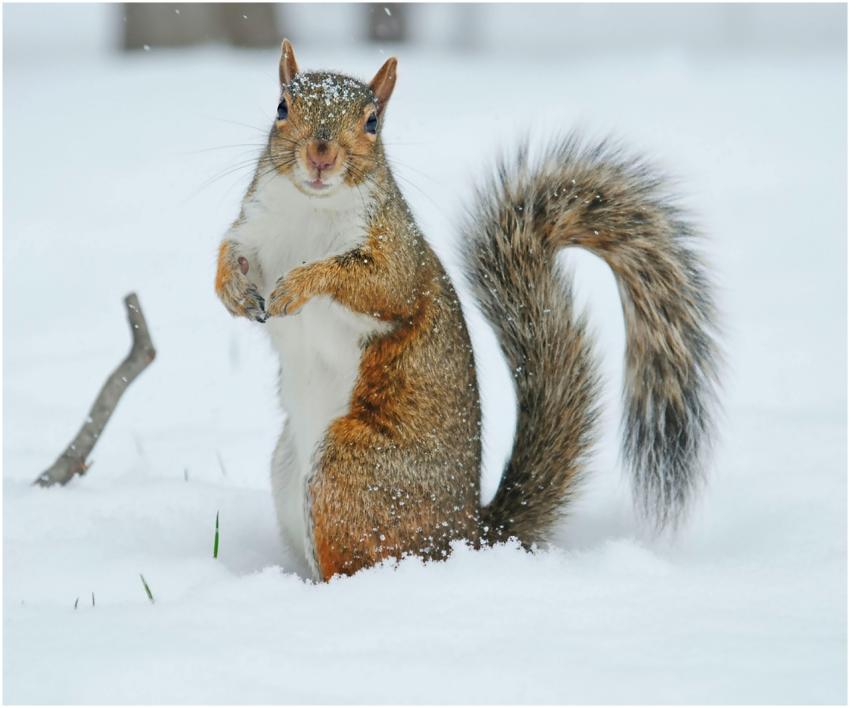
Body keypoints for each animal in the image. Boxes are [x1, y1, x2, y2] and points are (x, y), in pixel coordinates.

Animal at [215, 40, 720, 581]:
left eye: (373, 121)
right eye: (281, 107)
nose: (320, 154)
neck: (310, 209)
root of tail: (466, 539)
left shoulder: (397, 257)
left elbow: (376, 285)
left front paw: (299, 285)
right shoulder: (257, 230)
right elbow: (230, 254)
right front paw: (231, 291)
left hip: (350, 473)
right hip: (289, 470)